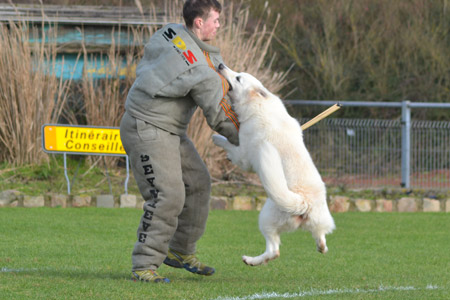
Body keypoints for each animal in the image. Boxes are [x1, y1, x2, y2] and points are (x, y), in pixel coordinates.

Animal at [213, 64, 336, 266]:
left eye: (238, 78)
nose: (221, 65)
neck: (259, 105)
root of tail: (303, 203)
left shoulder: (244, 155)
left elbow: (229, 145)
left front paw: (216, 138)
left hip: (265, 217)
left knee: (273, 251)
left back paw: (251, 260)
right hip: (319, 222)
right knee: (321, 240)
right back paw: (320, 247)